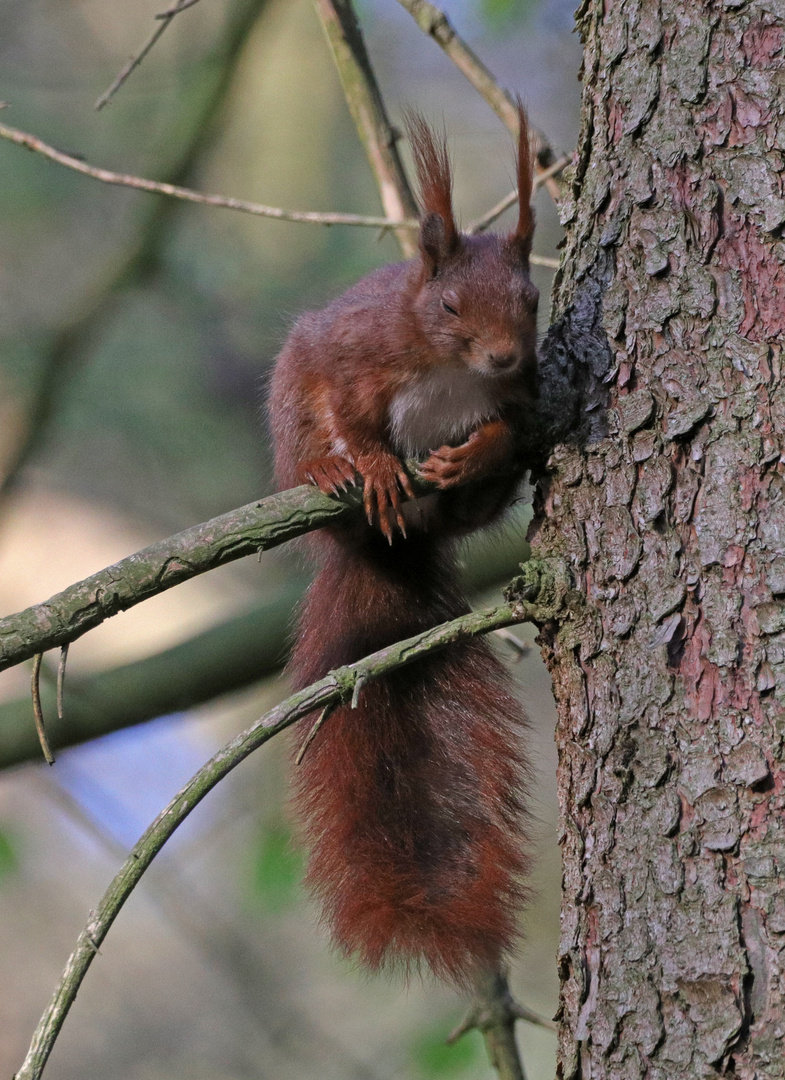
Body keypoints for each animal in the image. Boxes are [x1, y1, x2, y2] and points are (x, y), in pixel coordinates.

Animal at [269, 109, 539, 989]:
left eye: (530, 300)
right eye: (449, 303)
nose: (502, 355)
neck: (451, 370)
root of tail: (390, 552)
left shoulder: (521, 394)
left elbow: (513, 428)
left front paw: (479, 451)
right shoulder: (358, 358)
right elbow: (355, 413)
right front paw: (374, 462)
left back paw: (465, 485)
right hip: (291, 409)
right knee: (313, 448)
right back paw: (332, 475)